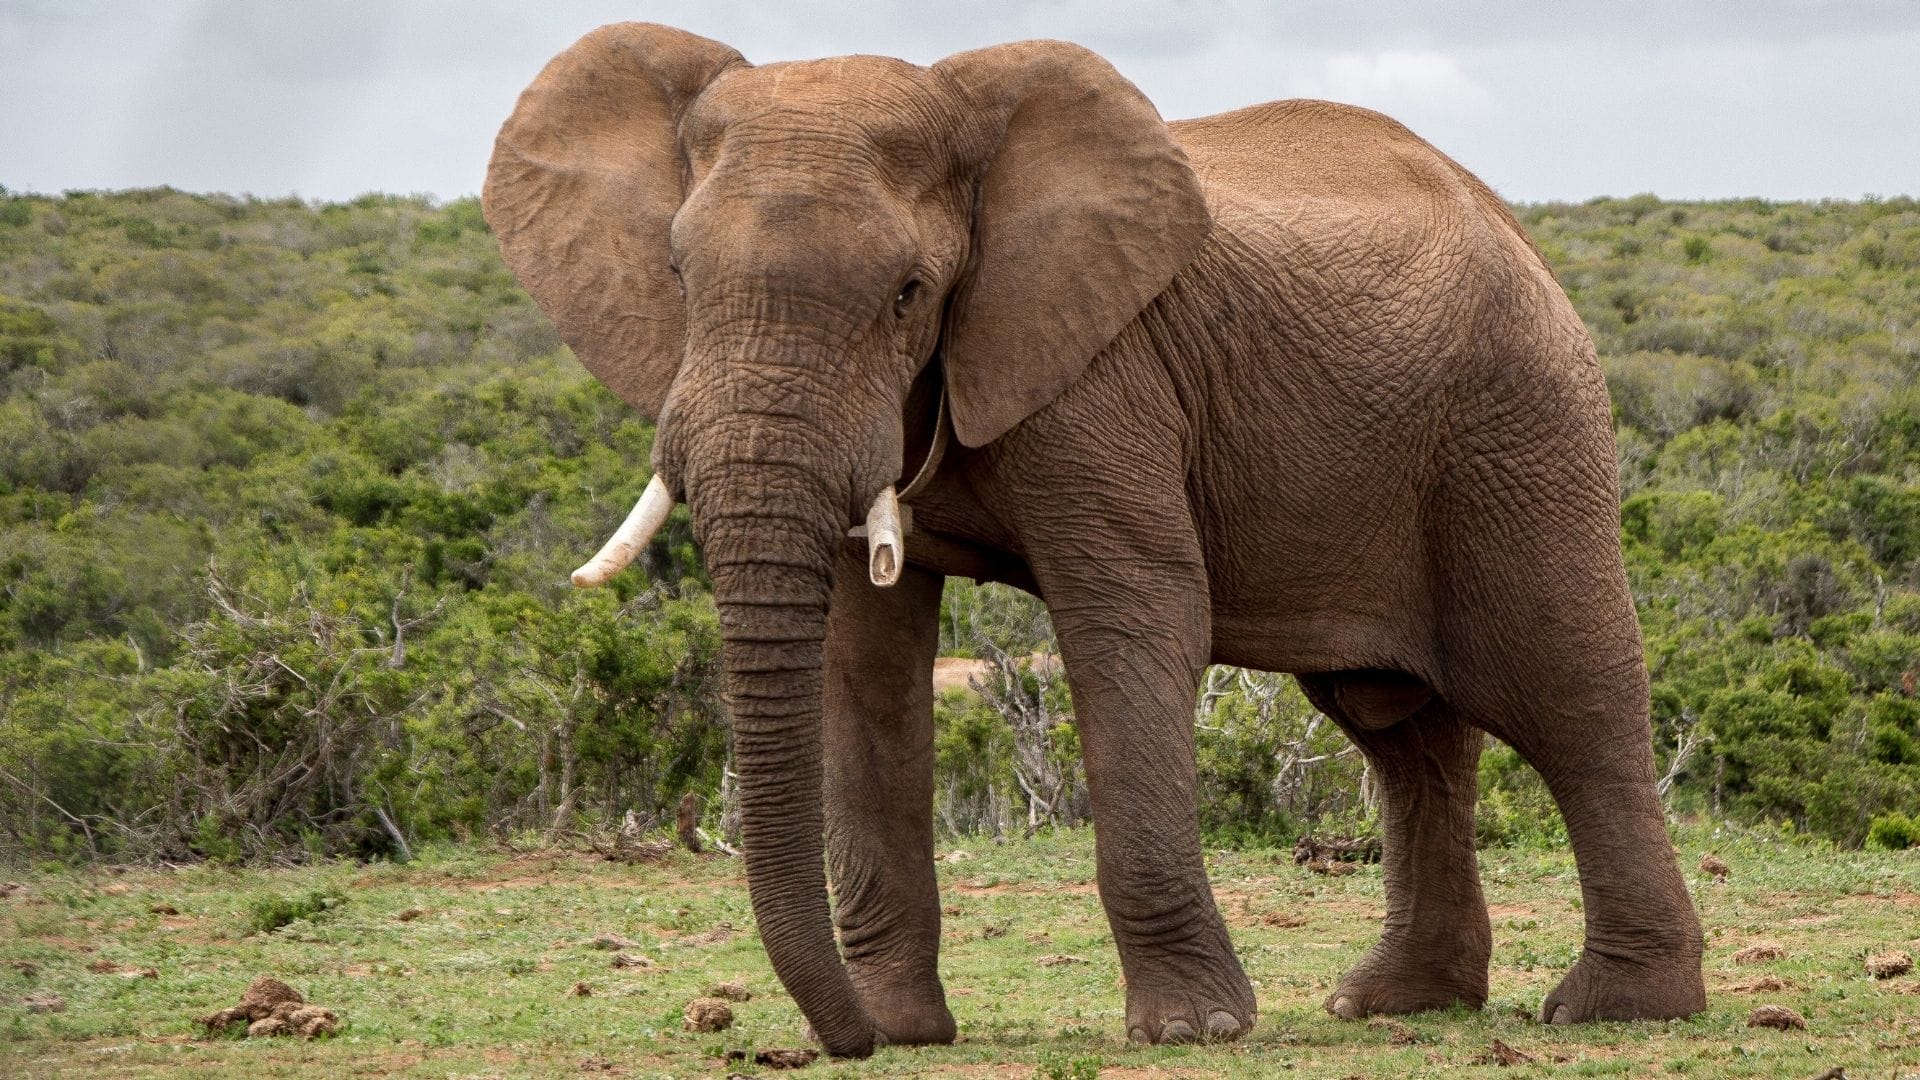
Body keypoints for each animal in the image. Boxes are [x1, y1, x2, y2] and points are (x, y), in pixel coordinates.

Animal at [482, 22, 1707, 1058]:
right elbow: (861, 659)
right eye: (678, 277)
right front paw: (902, 1028)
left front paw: (1194, 1031)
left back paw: (1619, 1011)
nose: (839, 1042)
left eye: (910, 292)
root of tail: (1514, 225)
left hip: (1519, 423)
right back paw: (1395, 1003)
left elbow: (1136, 614)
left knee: (1567, 692)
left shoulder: (1104, 374)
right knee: (1399, 729)